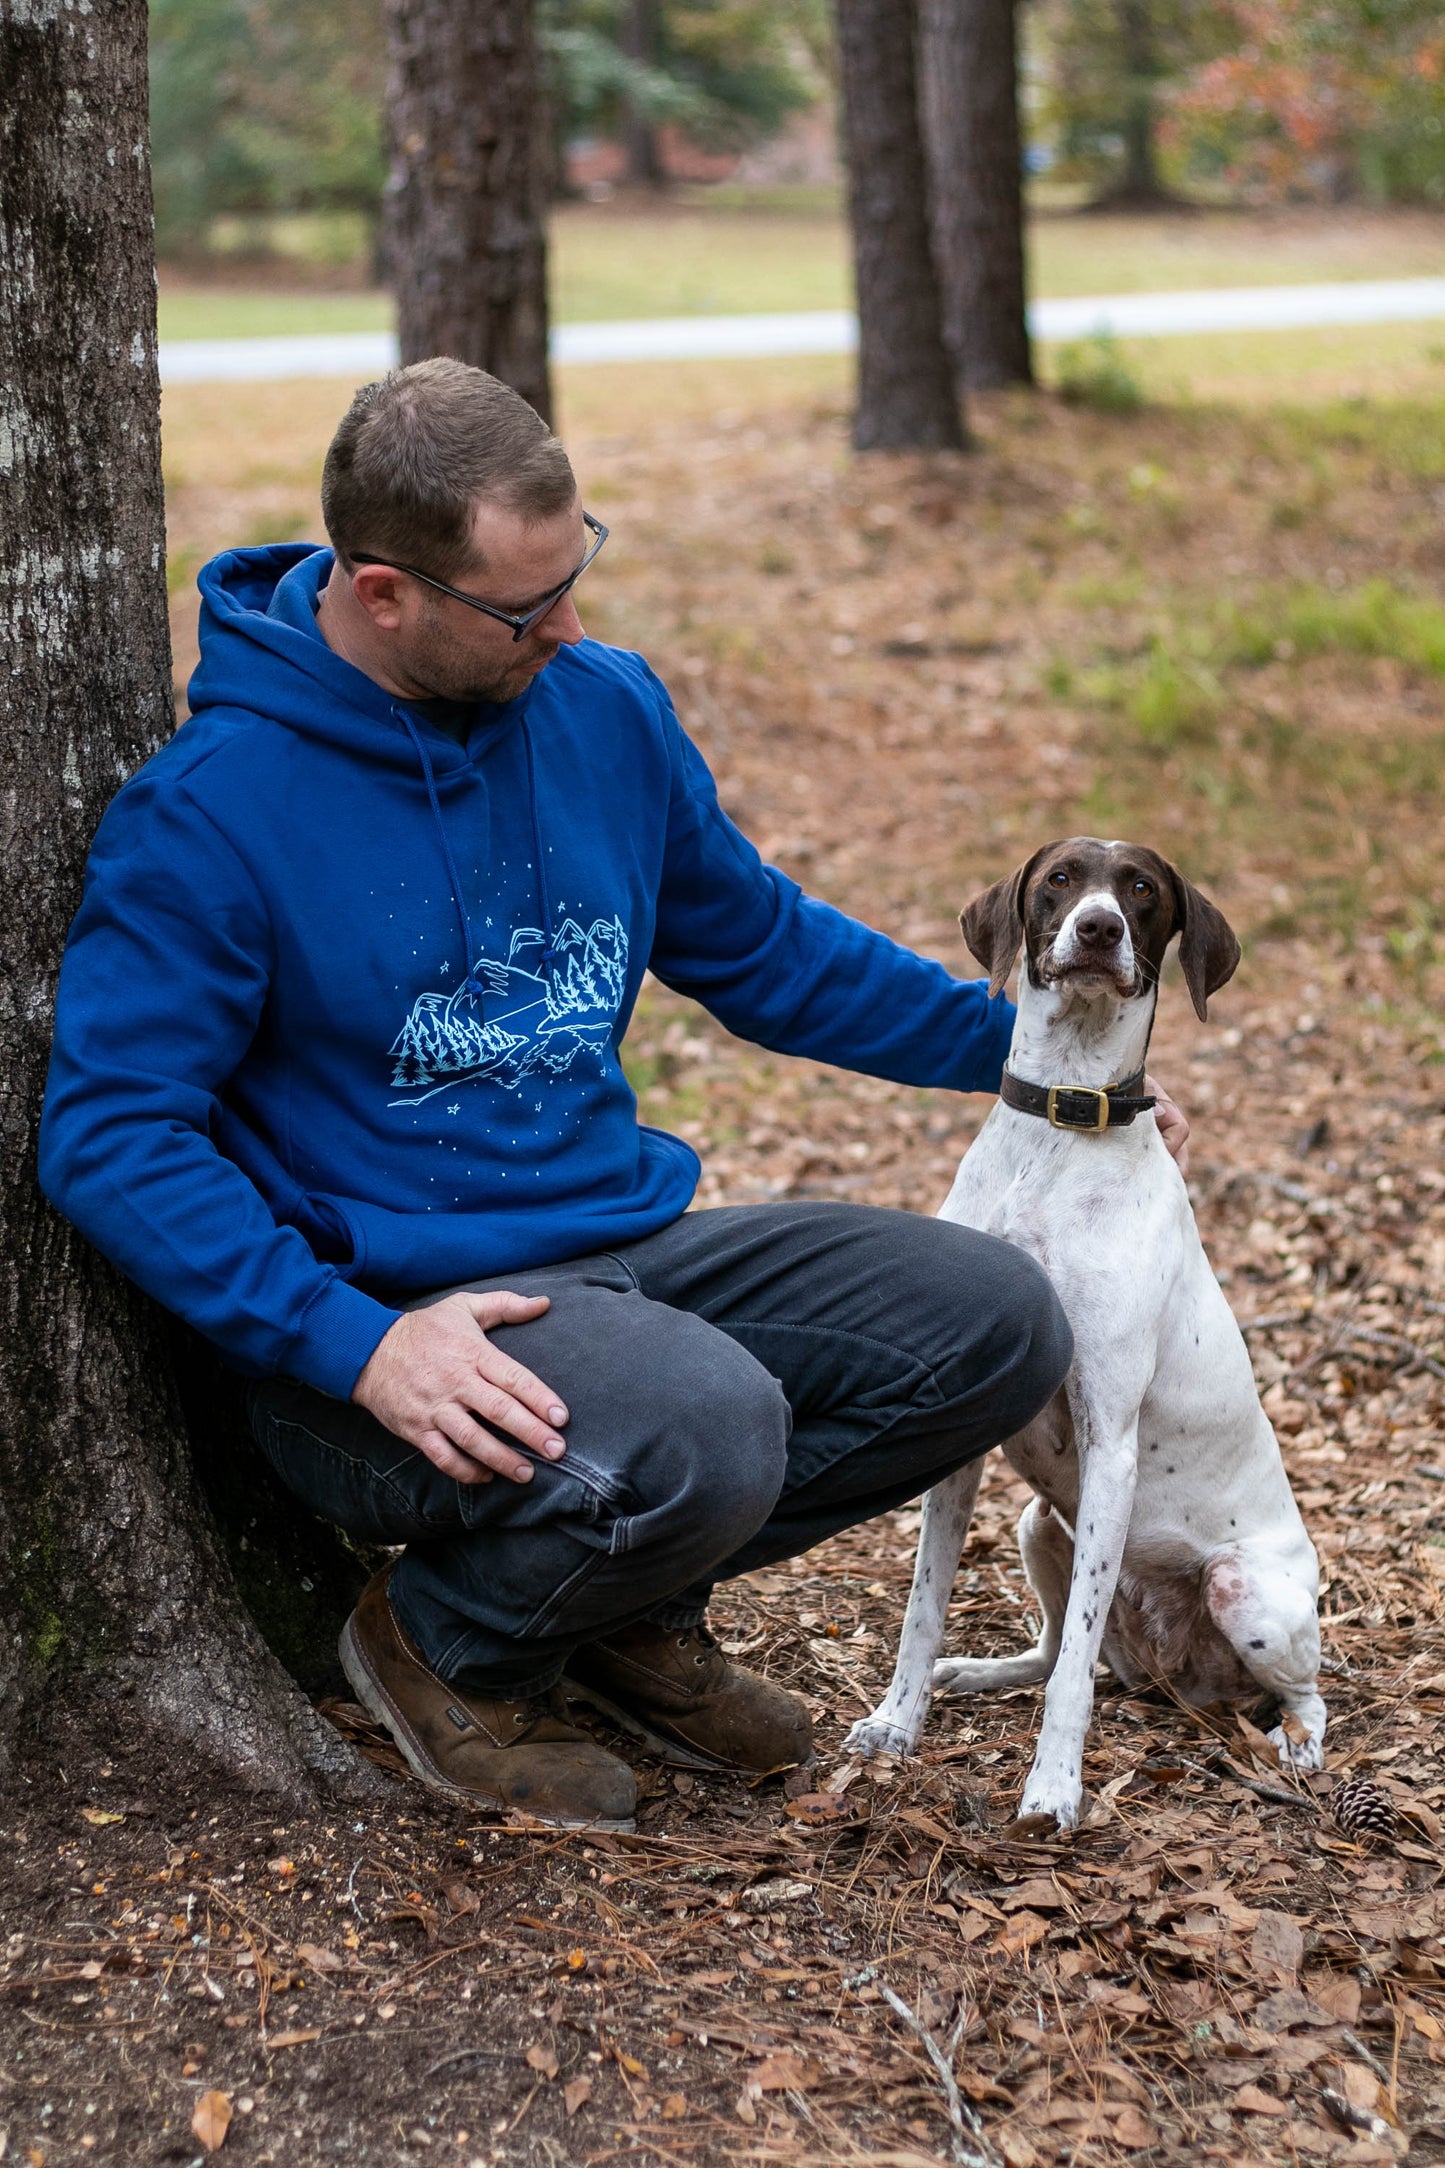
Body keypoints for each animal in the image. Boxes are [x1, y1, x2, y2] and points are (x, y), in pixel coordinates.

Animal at [849, 836, 1334, 1821]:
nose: (1099, 928)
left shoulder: (1109, 1437)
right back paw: (978, 1671)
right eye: (1061, 880)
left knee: (1303, 1692)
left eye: (1141, 889)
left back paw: (1295, 1746)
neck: (1057, 1132)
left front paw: (1051, 1791)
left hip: (1246, 1592)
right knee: (1047, 1652)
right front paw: (895, 1723)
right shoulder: (967, 1447)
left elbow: (1071, 1679)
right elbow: (923, 1609)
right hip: (1041, 1524)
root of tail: (1175, 1674)